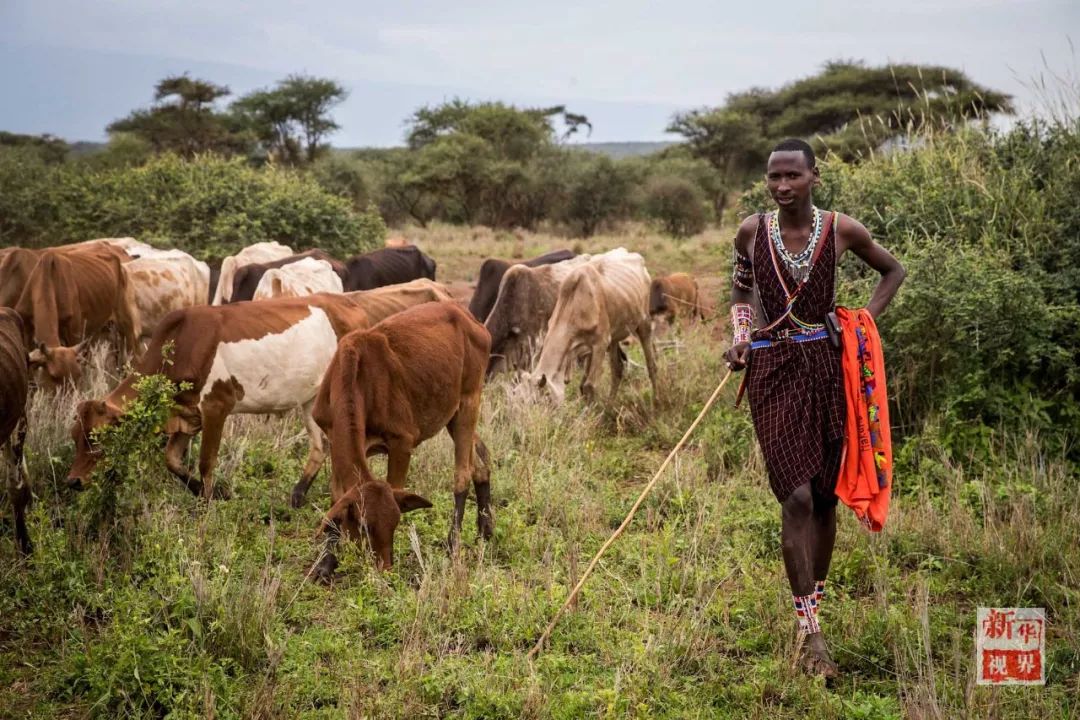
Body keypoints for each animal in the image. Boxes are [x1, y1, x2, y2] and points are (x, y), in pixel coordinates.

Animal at [67, 293, 373, 500]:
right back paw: (298, 495)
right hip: (311, 399)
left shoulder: (216, 406)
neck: (181, 344)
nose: (73, 481)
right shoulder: (188, 415)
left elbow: (205, 463)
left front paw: (209, 501)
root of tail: (352, 306)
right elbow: (172, 460)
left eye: (97, 437)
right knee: (321, 445)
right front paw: (211, 492)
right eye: (74, 436)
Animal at [306, 300, 488, 578]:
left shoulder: (401, 442)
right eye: (364, 525)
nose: (385, 567)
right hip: (453, 415)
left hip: (470, 400)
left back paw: (453, 544)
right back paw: (486, 532)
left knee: (463, 474)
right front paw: (326, 563)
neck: (356, 378)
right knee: (481, 464)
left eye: (395, 522)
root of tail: (468, 317)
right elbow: (336, 499)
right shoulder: (334, 439)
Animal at [531, 248, 656, 405]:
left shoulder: (600, 344)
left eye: (544, 399)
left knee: (651, 366)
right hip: (614, 337)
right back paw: (609, 406)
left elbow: (589, 385)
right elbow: (582, 386)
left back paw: (657, 400)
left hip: (644, 322)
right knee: (617, 369)